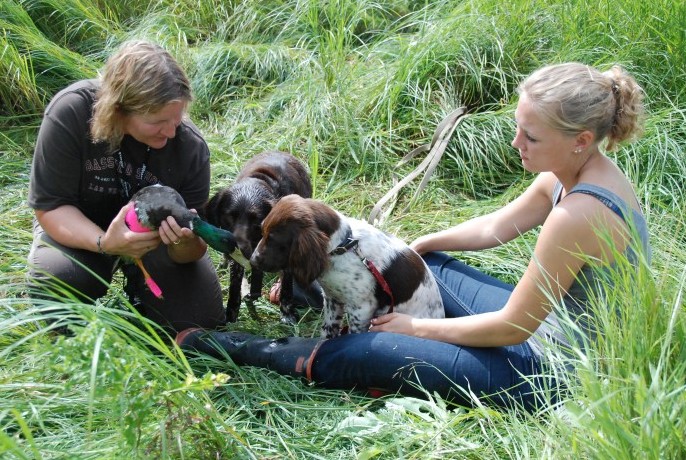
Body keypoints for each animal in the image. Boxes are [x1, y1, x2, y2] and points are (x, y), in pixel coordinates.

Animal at [204, 151, 312, 323]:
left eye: (257, 220)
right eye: (230, 216)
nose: (237, 248)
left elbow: (287, 285)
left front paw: (287, 312)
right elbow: (235, 287)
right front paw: (231, 314)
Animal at [250, 194, 445, 338]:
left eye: (273, 239)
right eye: (262, 232)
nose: (252, 260)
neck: (343, 247)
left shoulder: (361, 308)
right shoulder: (332, 299)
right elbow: (328, 330)